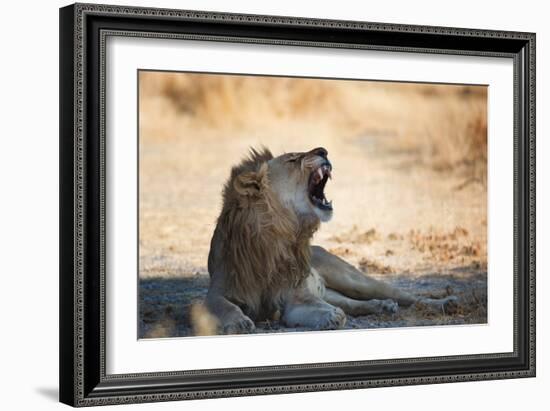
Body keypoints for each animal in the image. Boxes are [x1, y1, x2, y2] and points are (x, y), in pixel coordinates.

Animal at [206, 146, 458, 334]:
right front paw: (238, 321)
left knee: (406, 296)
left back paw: (444, 303)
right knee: (353, 303)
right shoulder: (217, 291)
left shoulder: (297, 296)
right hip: (333, 290)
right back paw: (383, 306)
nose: (323, 150)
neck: (277, 236)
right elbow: (222, 306)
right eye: (292, 159)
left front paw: (329, 314)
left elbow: (313, 306)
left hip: (354, 279)